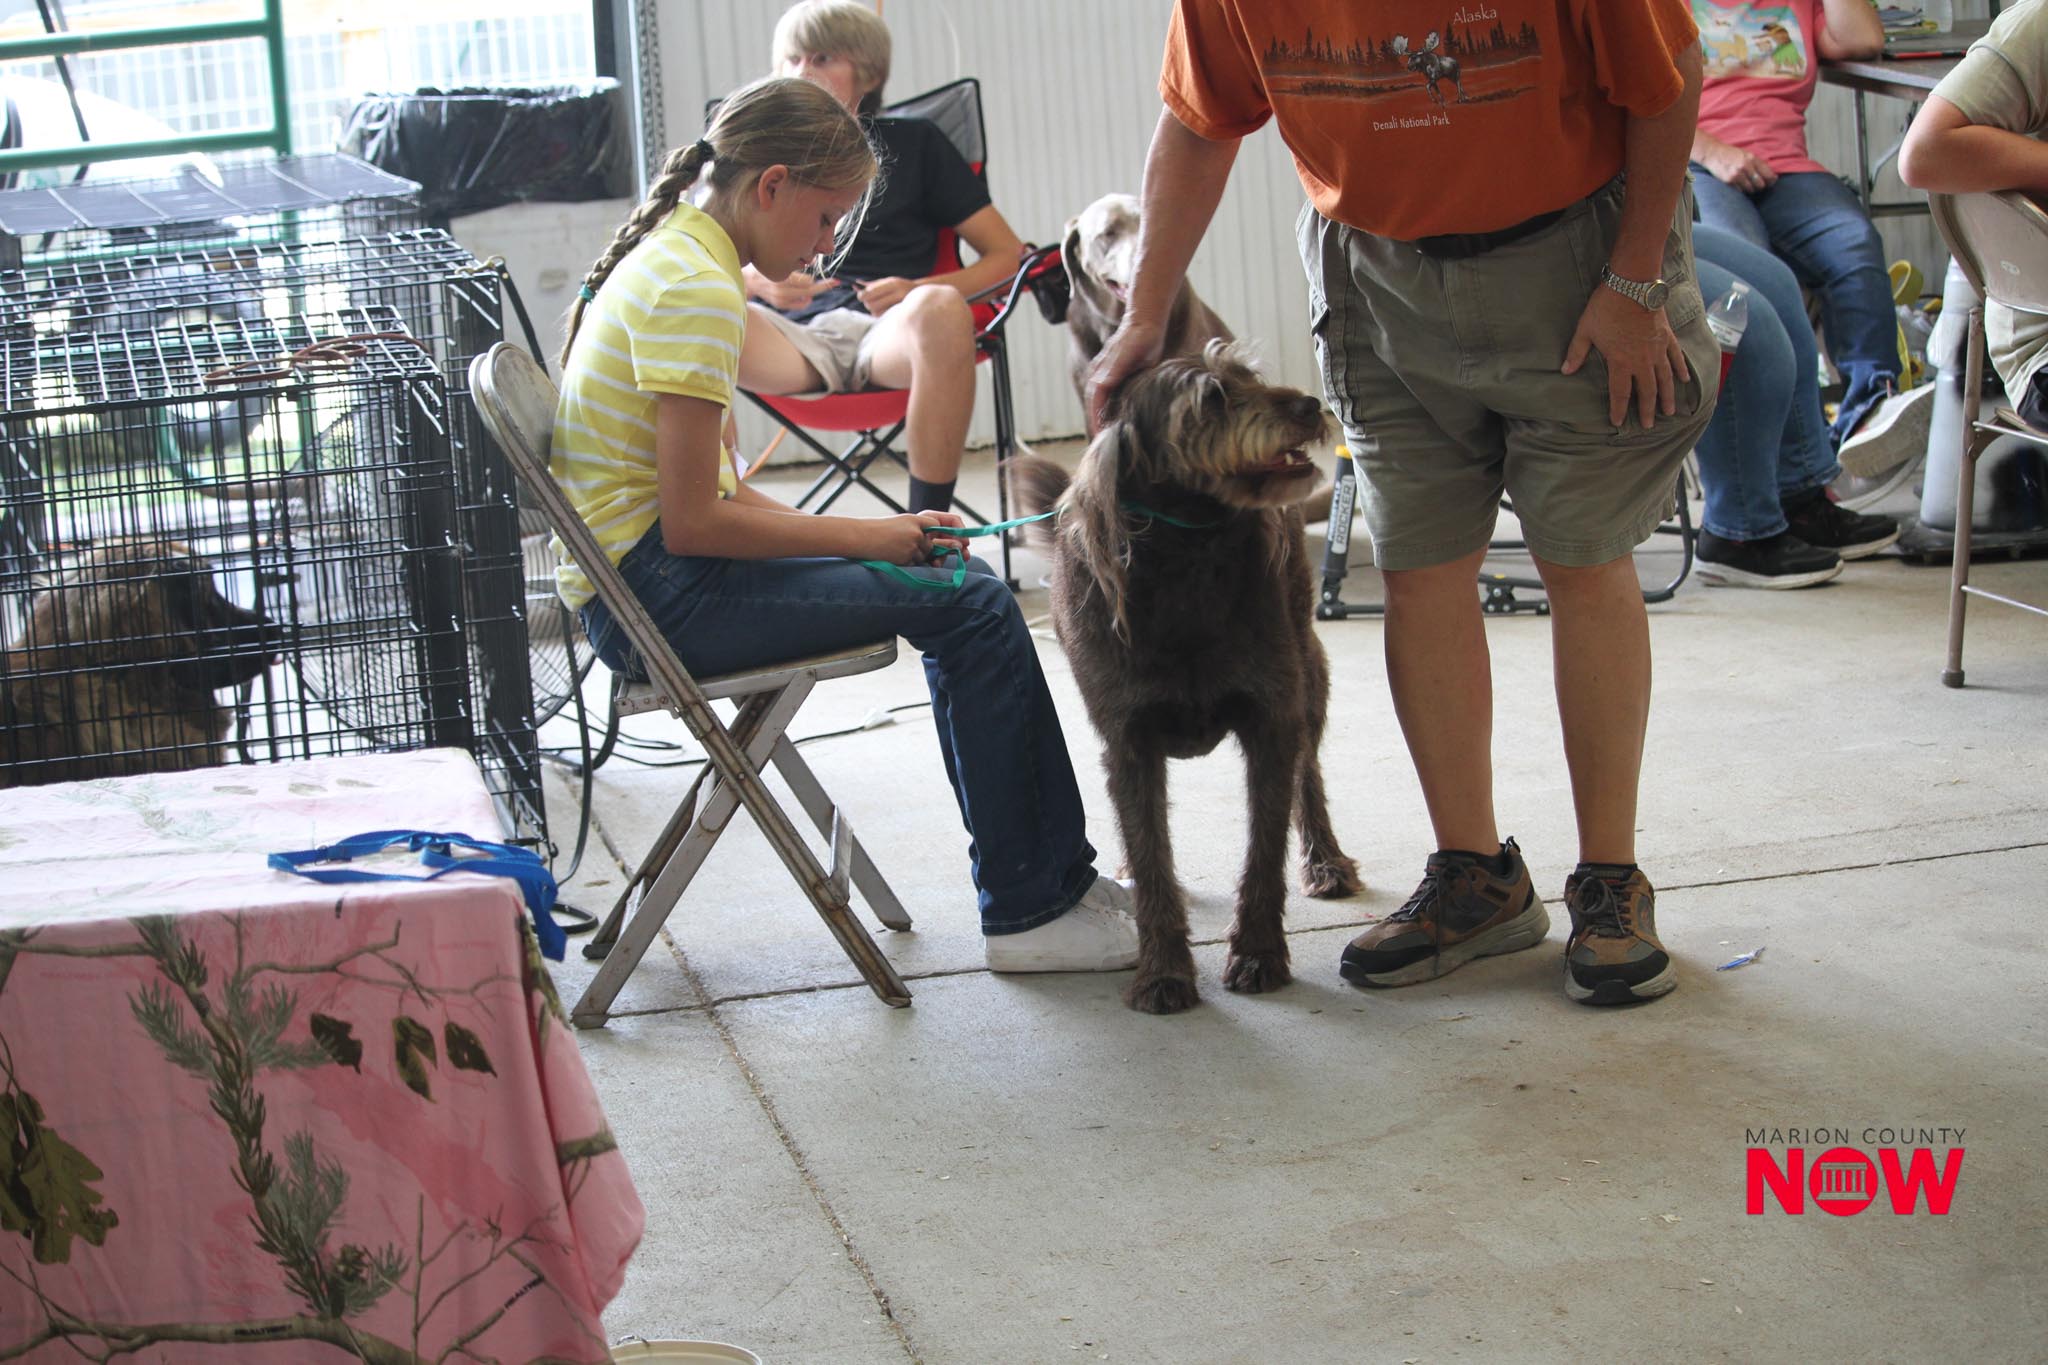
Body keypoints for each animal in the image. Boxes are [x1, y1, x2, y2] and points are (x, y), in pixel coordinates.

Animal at [1012, 344, 1361, 1014]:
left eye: (1250, 376)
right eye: (1212, 398)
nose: (1309, 405)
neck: (1186, 558)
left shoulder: (1271, 724)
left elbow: (1264, 851)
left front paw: (1257, 953)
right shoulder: (1129, 745)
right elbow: (1152, 857)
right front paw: (1165, 972)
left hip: (1309, 677)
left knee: (1310, 776)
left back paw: (1326, 860)